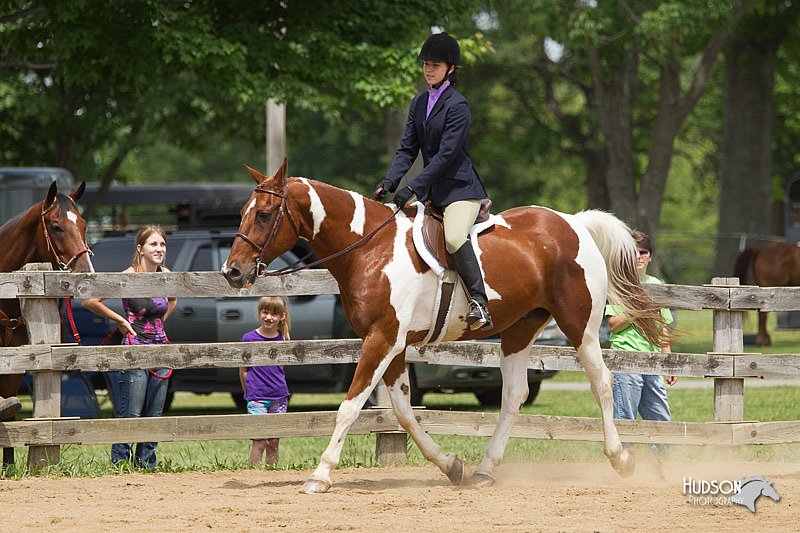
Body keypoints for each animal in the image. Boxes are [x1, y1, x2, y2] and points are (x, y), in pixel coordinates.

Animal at [222, 159, 664, 494]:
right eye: (243, 213)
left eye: (264, 214)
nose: (232, 272)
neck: (369, 248)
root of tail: (573, 223)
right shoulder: (393, 345)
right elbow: (403, 412)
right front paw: (451, 466)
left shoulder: (382, 340)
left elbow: (350, 406)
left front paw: (320, 475)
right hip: (519, 329)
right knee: (514, 394)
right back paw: (484, 469)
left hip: (580, 326)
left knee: (601, 381)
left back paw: (621, 458)